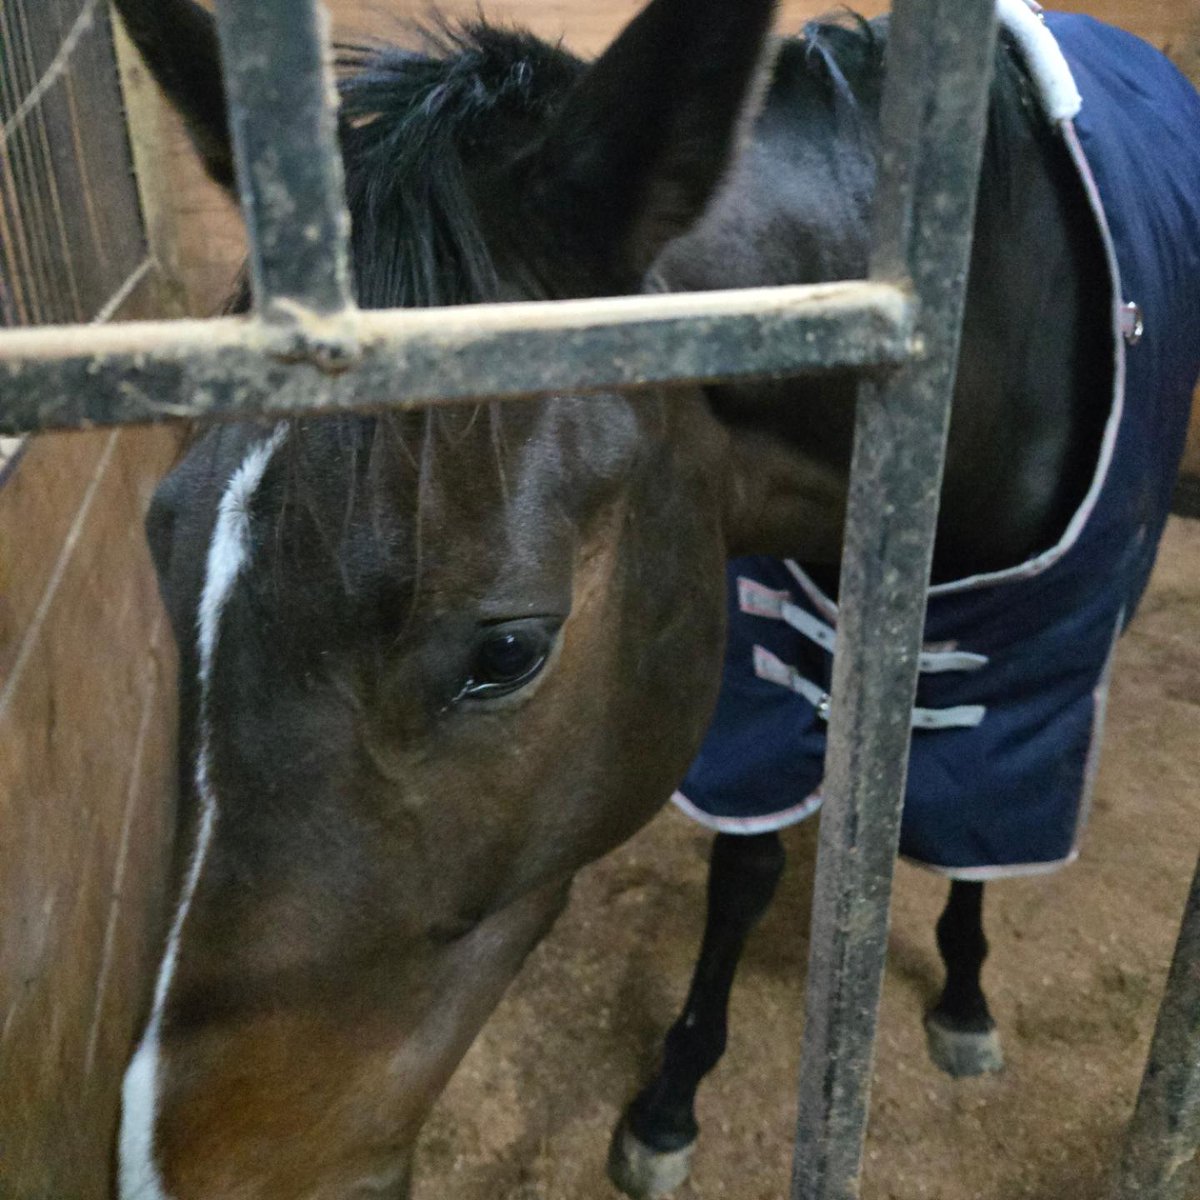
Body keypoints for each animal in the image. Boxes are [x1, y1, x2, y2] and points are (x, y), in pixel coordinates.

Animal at [110, 0, 1200, 1196]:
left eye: (507, 652)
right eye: (163, 539)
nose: (181, 1172)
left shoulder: (1037, 665)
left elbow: (979, 837)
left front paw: (962, 999)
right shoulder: (756, 656)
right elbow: (746, 865)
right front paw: (672, 1100)